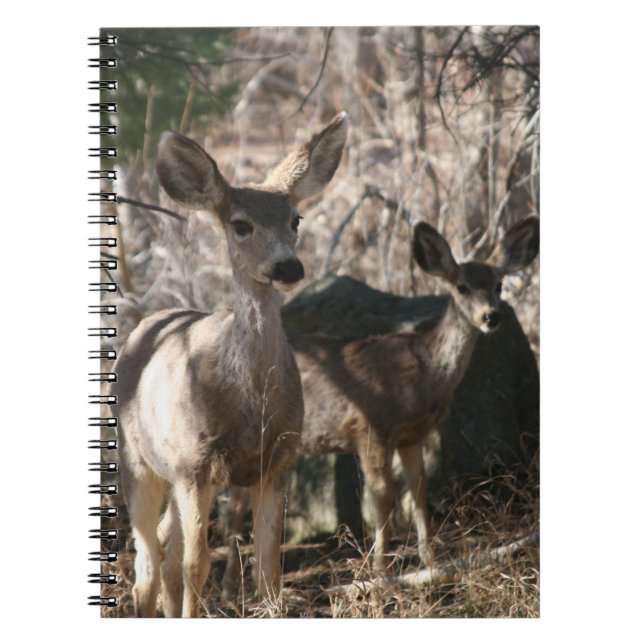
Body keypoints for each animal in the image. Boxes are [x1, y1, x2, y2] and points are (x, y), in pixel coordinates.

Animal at [112, 112, 348, 617]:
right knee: (148, 560)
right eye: (241, 225)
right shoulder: (194, 463)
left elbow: (269, 568)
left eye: (295, 219)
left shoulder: (277, 460)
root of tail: (148, 322)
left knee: (165, 548)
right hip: (138, 459)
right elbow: (196, 566)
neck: (250, 401)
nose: (288, 267)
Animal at [223, 216, 539, 592]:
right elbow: (382, 498)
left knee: (237, 499)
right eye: (462, 287)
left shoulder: (412, 435)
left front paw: (431, 564)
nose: (491, 317)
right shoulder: (369, 427)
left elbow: (419, 492)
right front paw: (380, 575)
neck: (423, 376)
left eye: (499, 284)